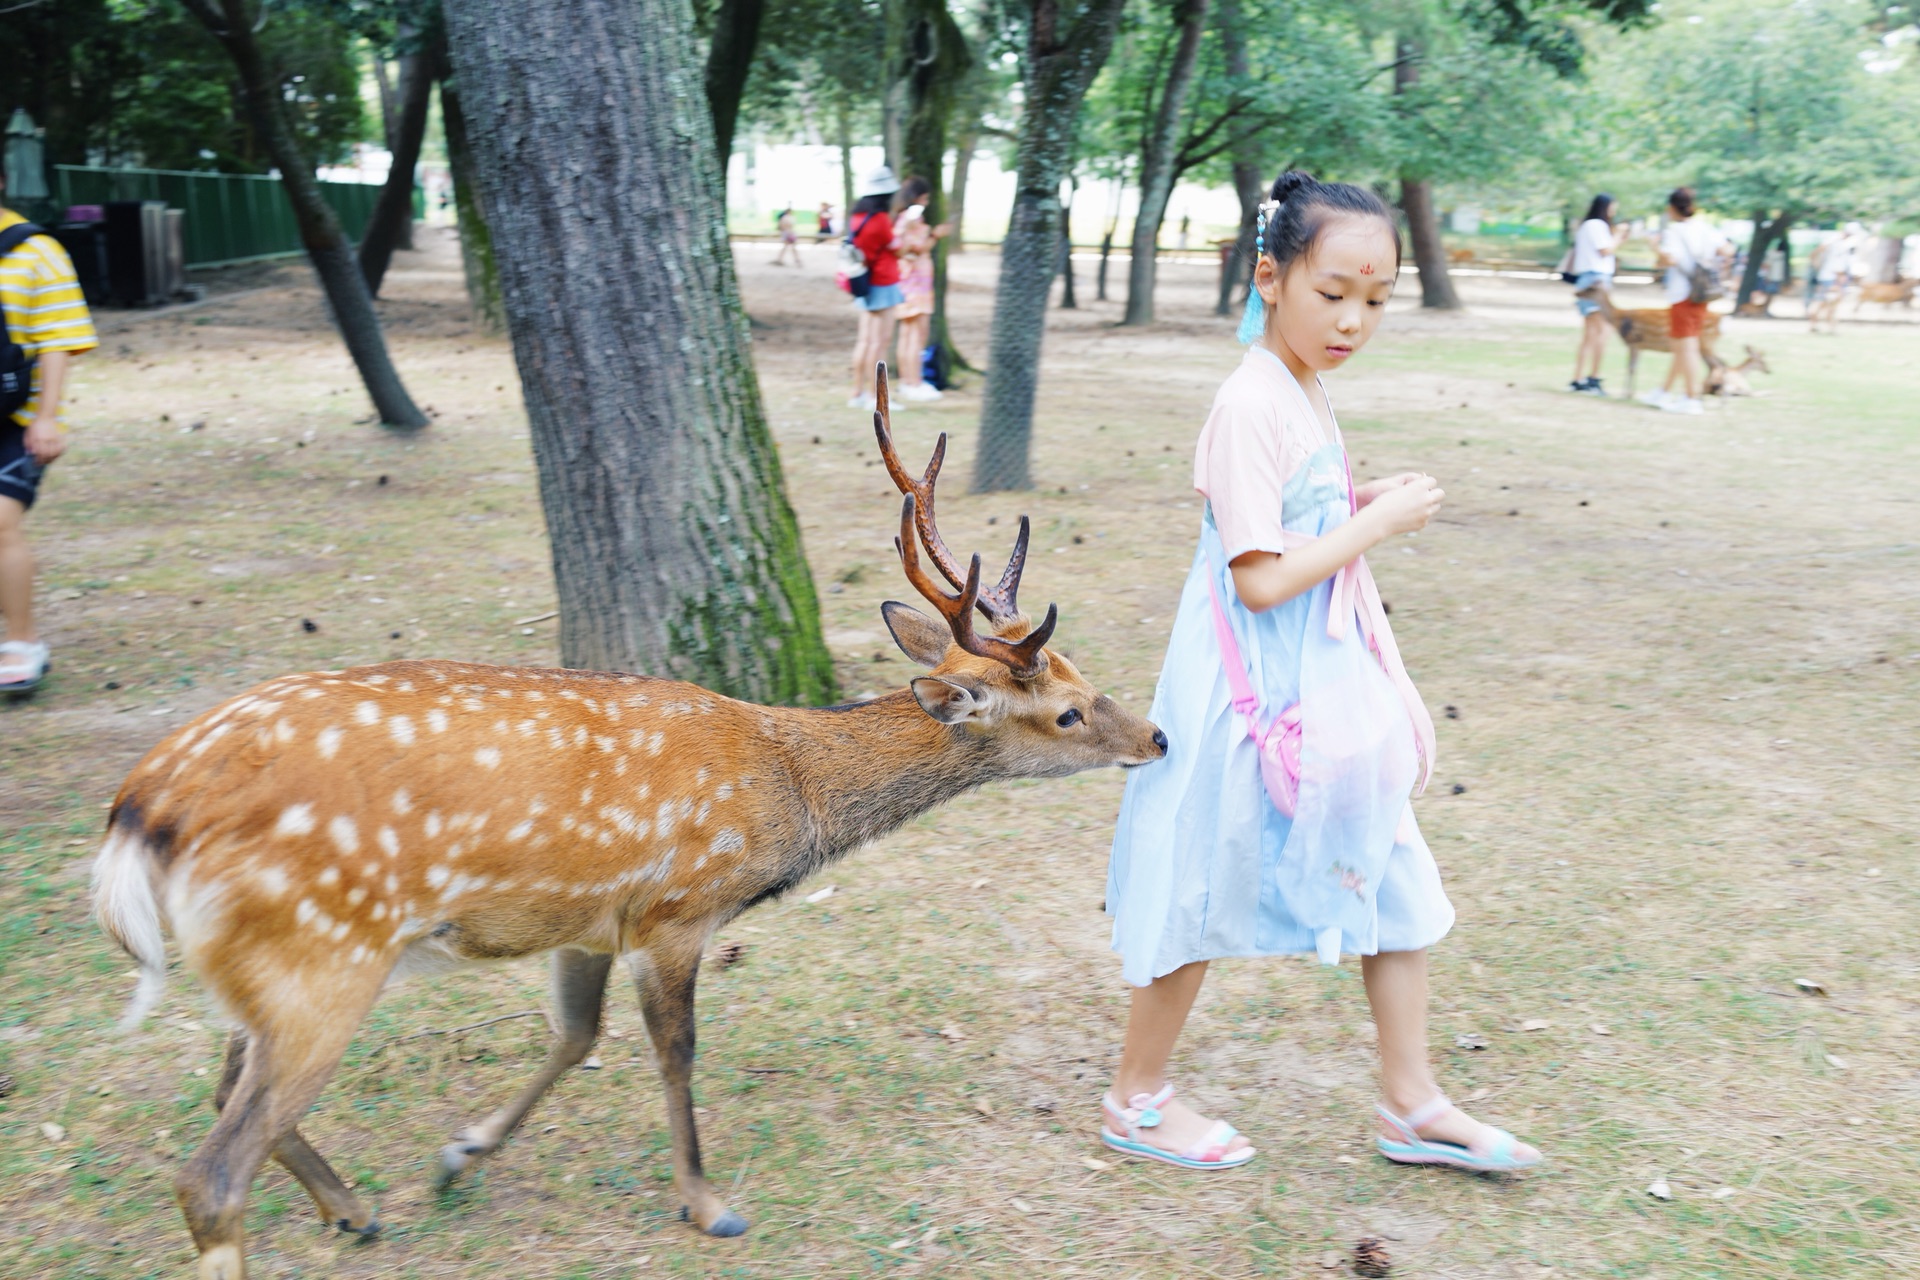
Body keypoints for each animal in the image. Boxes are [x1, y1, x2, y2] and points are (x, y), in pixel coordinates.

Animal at [90, 364, 1159, 1274]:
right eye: (1067, 712)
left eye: (1082, 679)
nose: (1155, 735)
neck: (788, 791)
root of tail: (141, 805)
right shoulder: (677, 909)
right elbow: (674, 1053)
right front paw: (707, 1202)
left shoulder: (585, 917)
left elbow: (574, 1035)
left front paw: (462, 1153)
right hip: (321, 955)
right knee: (211, 1171)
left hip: (269, 965)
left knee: (228, 1088)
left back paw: (354, 1207)